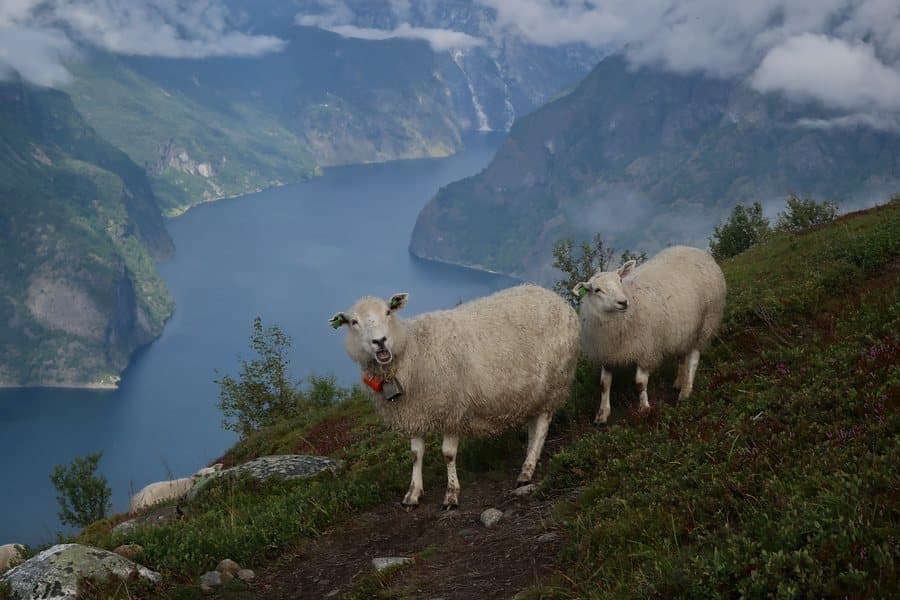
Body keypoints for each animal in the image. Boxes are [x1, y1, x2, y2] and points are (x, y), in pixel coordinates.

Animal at [330, 284, 580, 509]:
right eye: (353, 322)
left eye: (388, 312)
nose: (380, 341)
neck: (411, 351)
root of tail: (557, 298)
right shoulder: (415, 412)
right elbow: (416, 454)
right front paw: (413, 494)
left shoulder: (451, 409)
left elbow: (448, 454)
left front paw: (451, 494)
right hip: (532, 391)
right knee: (533, 424)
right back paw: (530, 455)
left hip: (554, 381)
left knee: (543, 424)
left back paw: (527, 470)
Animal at [573, 245, 726, 425]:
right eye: (597, 290)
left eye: (620, 281)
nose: (623, 302)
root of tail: (694, 249)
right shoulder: (607, 353)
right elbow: (604, 384)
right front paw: (602, 414)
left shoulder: (645, 350)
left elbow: (640, 383)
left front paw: (645, 410)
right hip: (683, 330)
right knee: (682, 356)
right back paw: (679, 382)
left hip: (706, 321)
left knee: (694, 357)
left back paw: (686, 390)